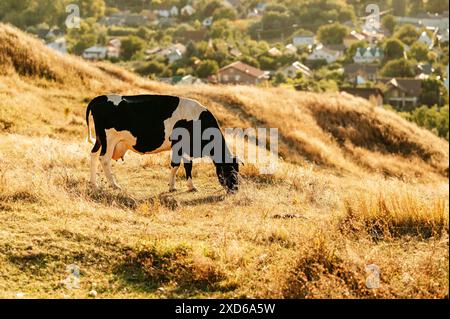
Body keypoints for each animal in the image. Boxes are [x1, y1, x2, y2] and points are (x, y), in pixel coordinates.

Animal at [84, 95, 239, 194]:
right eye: (230, 171)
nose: (235, 189)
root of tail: (100, 98)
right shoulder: (182, 145)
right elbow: (180, 165)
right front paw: (183, 187)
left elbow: (181, 166)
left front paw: (179, 186)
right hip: (109, 139)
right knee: (104, 159)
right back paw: (114, 185)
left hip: (100, 139)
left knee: (93, 155)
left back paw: (94, 184)